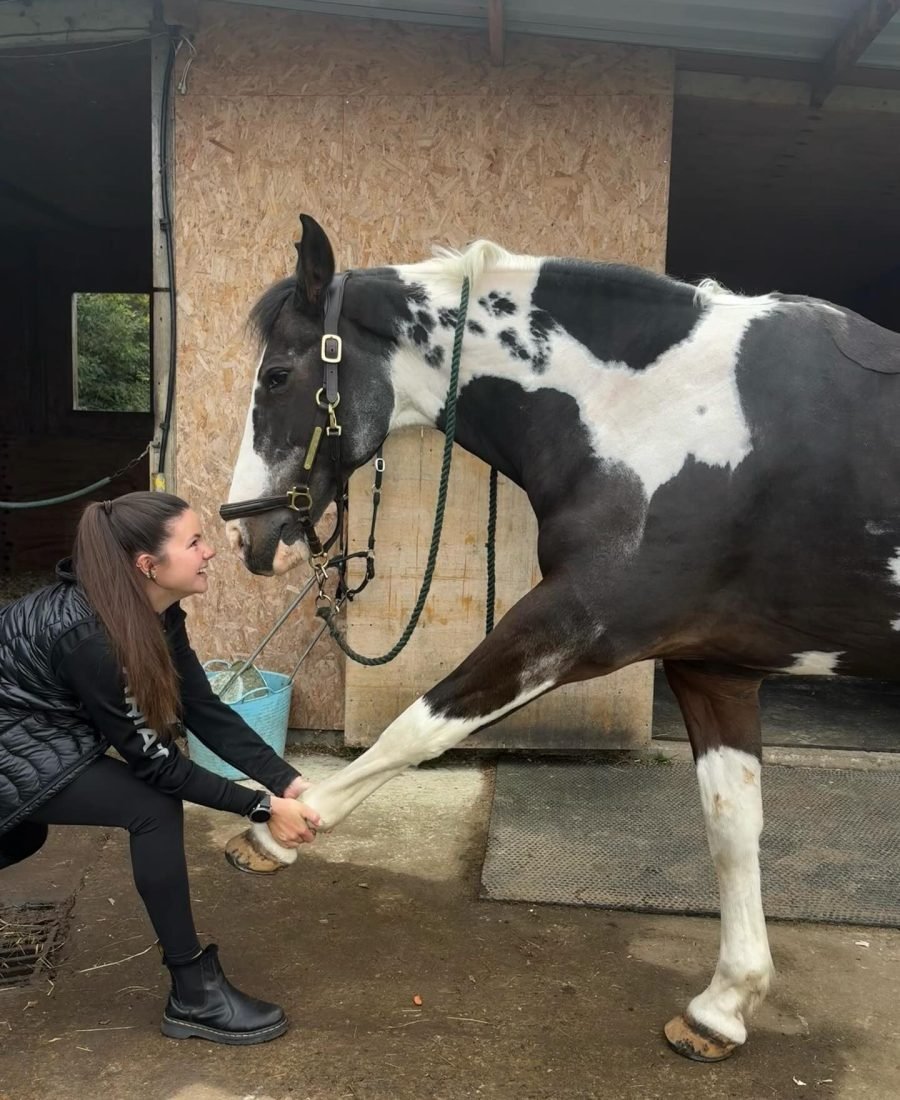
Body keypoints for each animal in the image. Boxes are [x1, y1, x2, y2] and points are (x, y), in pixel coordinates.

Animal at [220, 214, 900, 1062]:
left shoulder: (577, 623)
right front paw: (723, 1006)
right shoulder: (712, 669)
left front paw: (281, 830)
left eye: (279, 376)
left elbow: (419, 726)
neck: (662, 408)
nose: (245, 537)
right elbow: (732, 829)